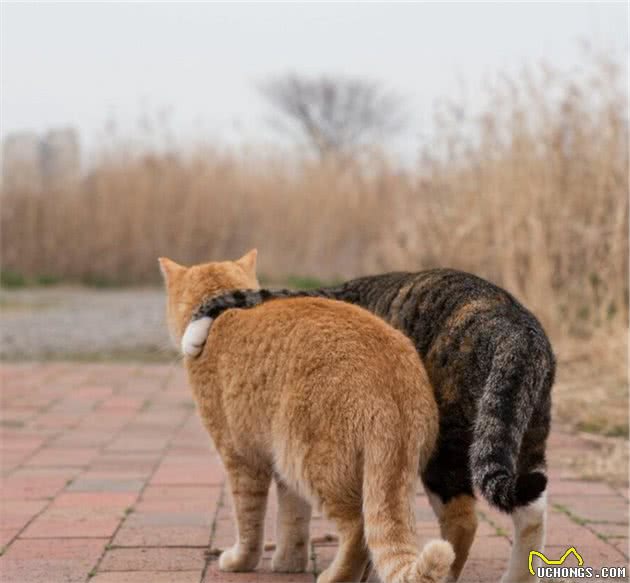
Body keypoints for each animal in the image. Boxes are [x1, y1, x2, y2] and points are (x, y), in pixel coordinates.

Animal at [158, 251, 454, 583]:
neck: (222, 315)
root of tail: (390, 382)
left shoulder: (242, 461)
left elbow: (248, 522)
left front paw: (240, 561)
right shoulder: (282, 474)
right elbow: (293, 520)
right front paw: (289, 563)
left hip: (310, 463)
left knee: (358, 528)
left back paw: (336, 576)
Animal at [185, 270, 556, 583]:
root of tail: (516, 330)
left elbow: (238, 296)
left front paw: (193, 335)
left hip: (445, 450)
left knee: (459, 522)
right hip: (522, 436)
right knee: (532, 511)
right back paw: (514, 578)